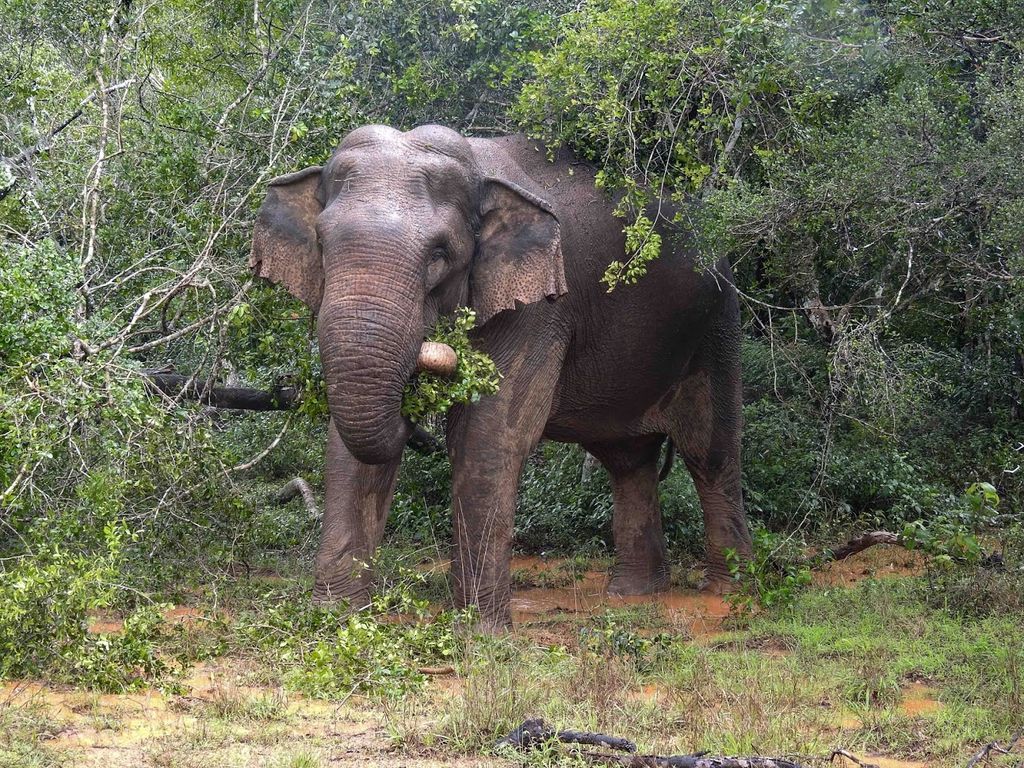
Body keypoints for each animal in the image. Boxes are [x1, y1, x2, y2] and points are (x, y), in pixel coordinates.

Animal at [251, 123, 757, 626]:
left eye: (439, 255)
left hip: (717, 324)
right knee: (628, 460)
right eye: (321, 245)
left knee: (710, 452)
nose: (414, 401)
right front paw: (335, 617)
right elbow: (347, 446)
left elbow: (487, 434)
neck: (478, 166)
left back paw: (731, 592)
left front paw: (478, 630)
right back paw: (634, 595)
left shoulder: (540, 306)